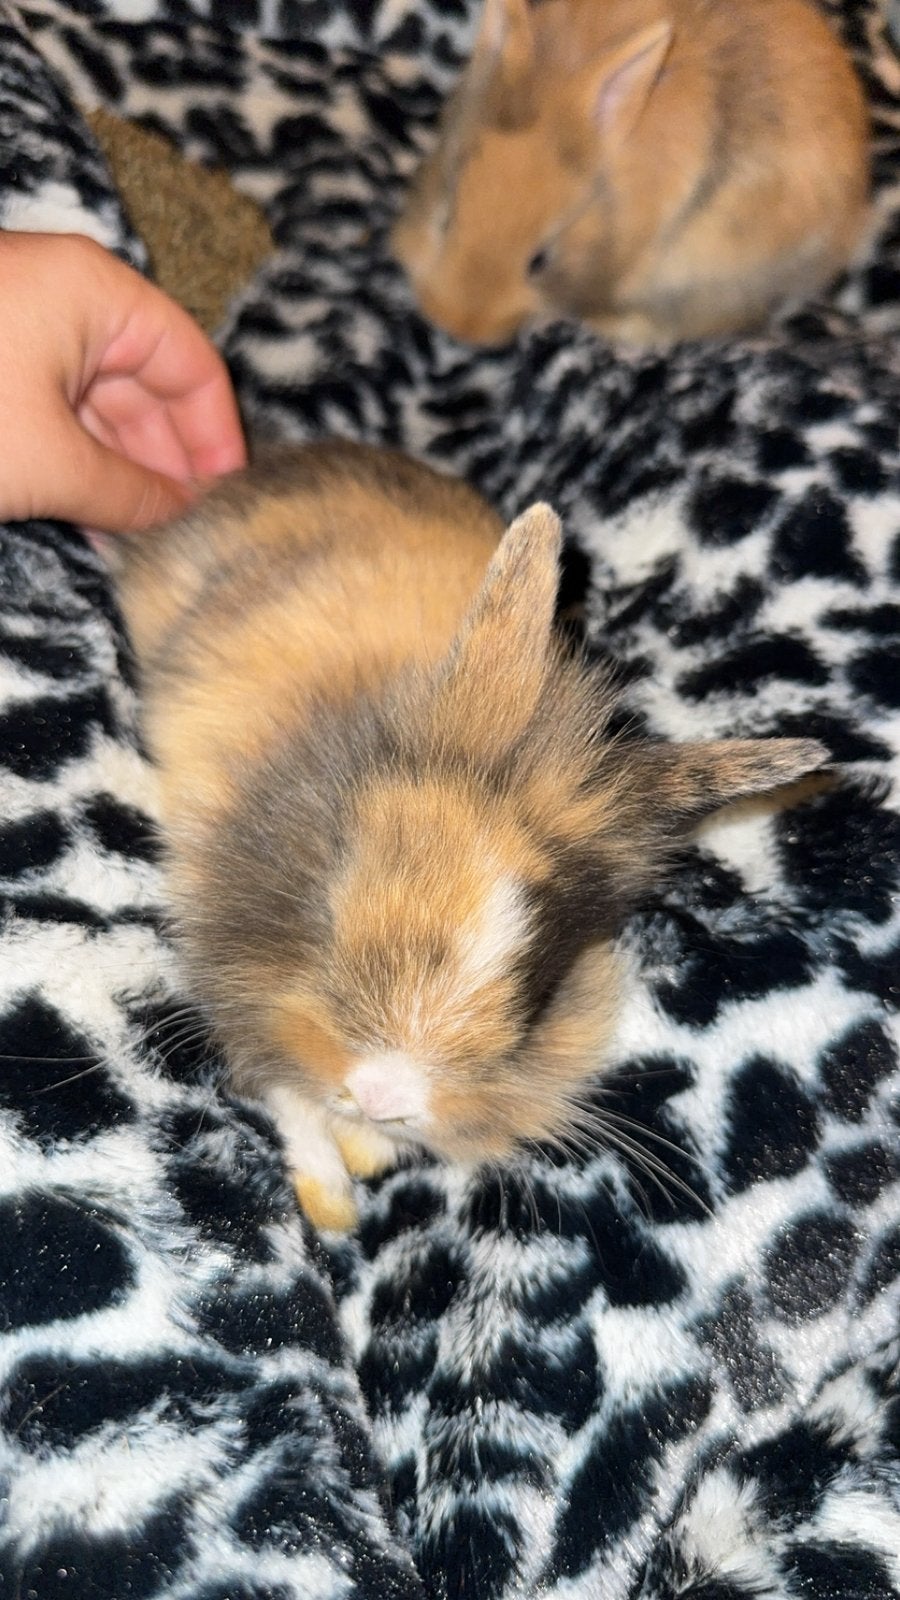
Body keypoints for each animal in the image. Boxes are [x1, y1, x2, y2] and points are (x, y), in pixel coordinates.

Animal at [106, 440, 828, 1230]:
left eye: (539, 995)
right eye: (326, 910)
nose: (385, 1097)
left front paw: (367, 1148)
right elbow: (291, 1097)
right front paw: (334, 1204)